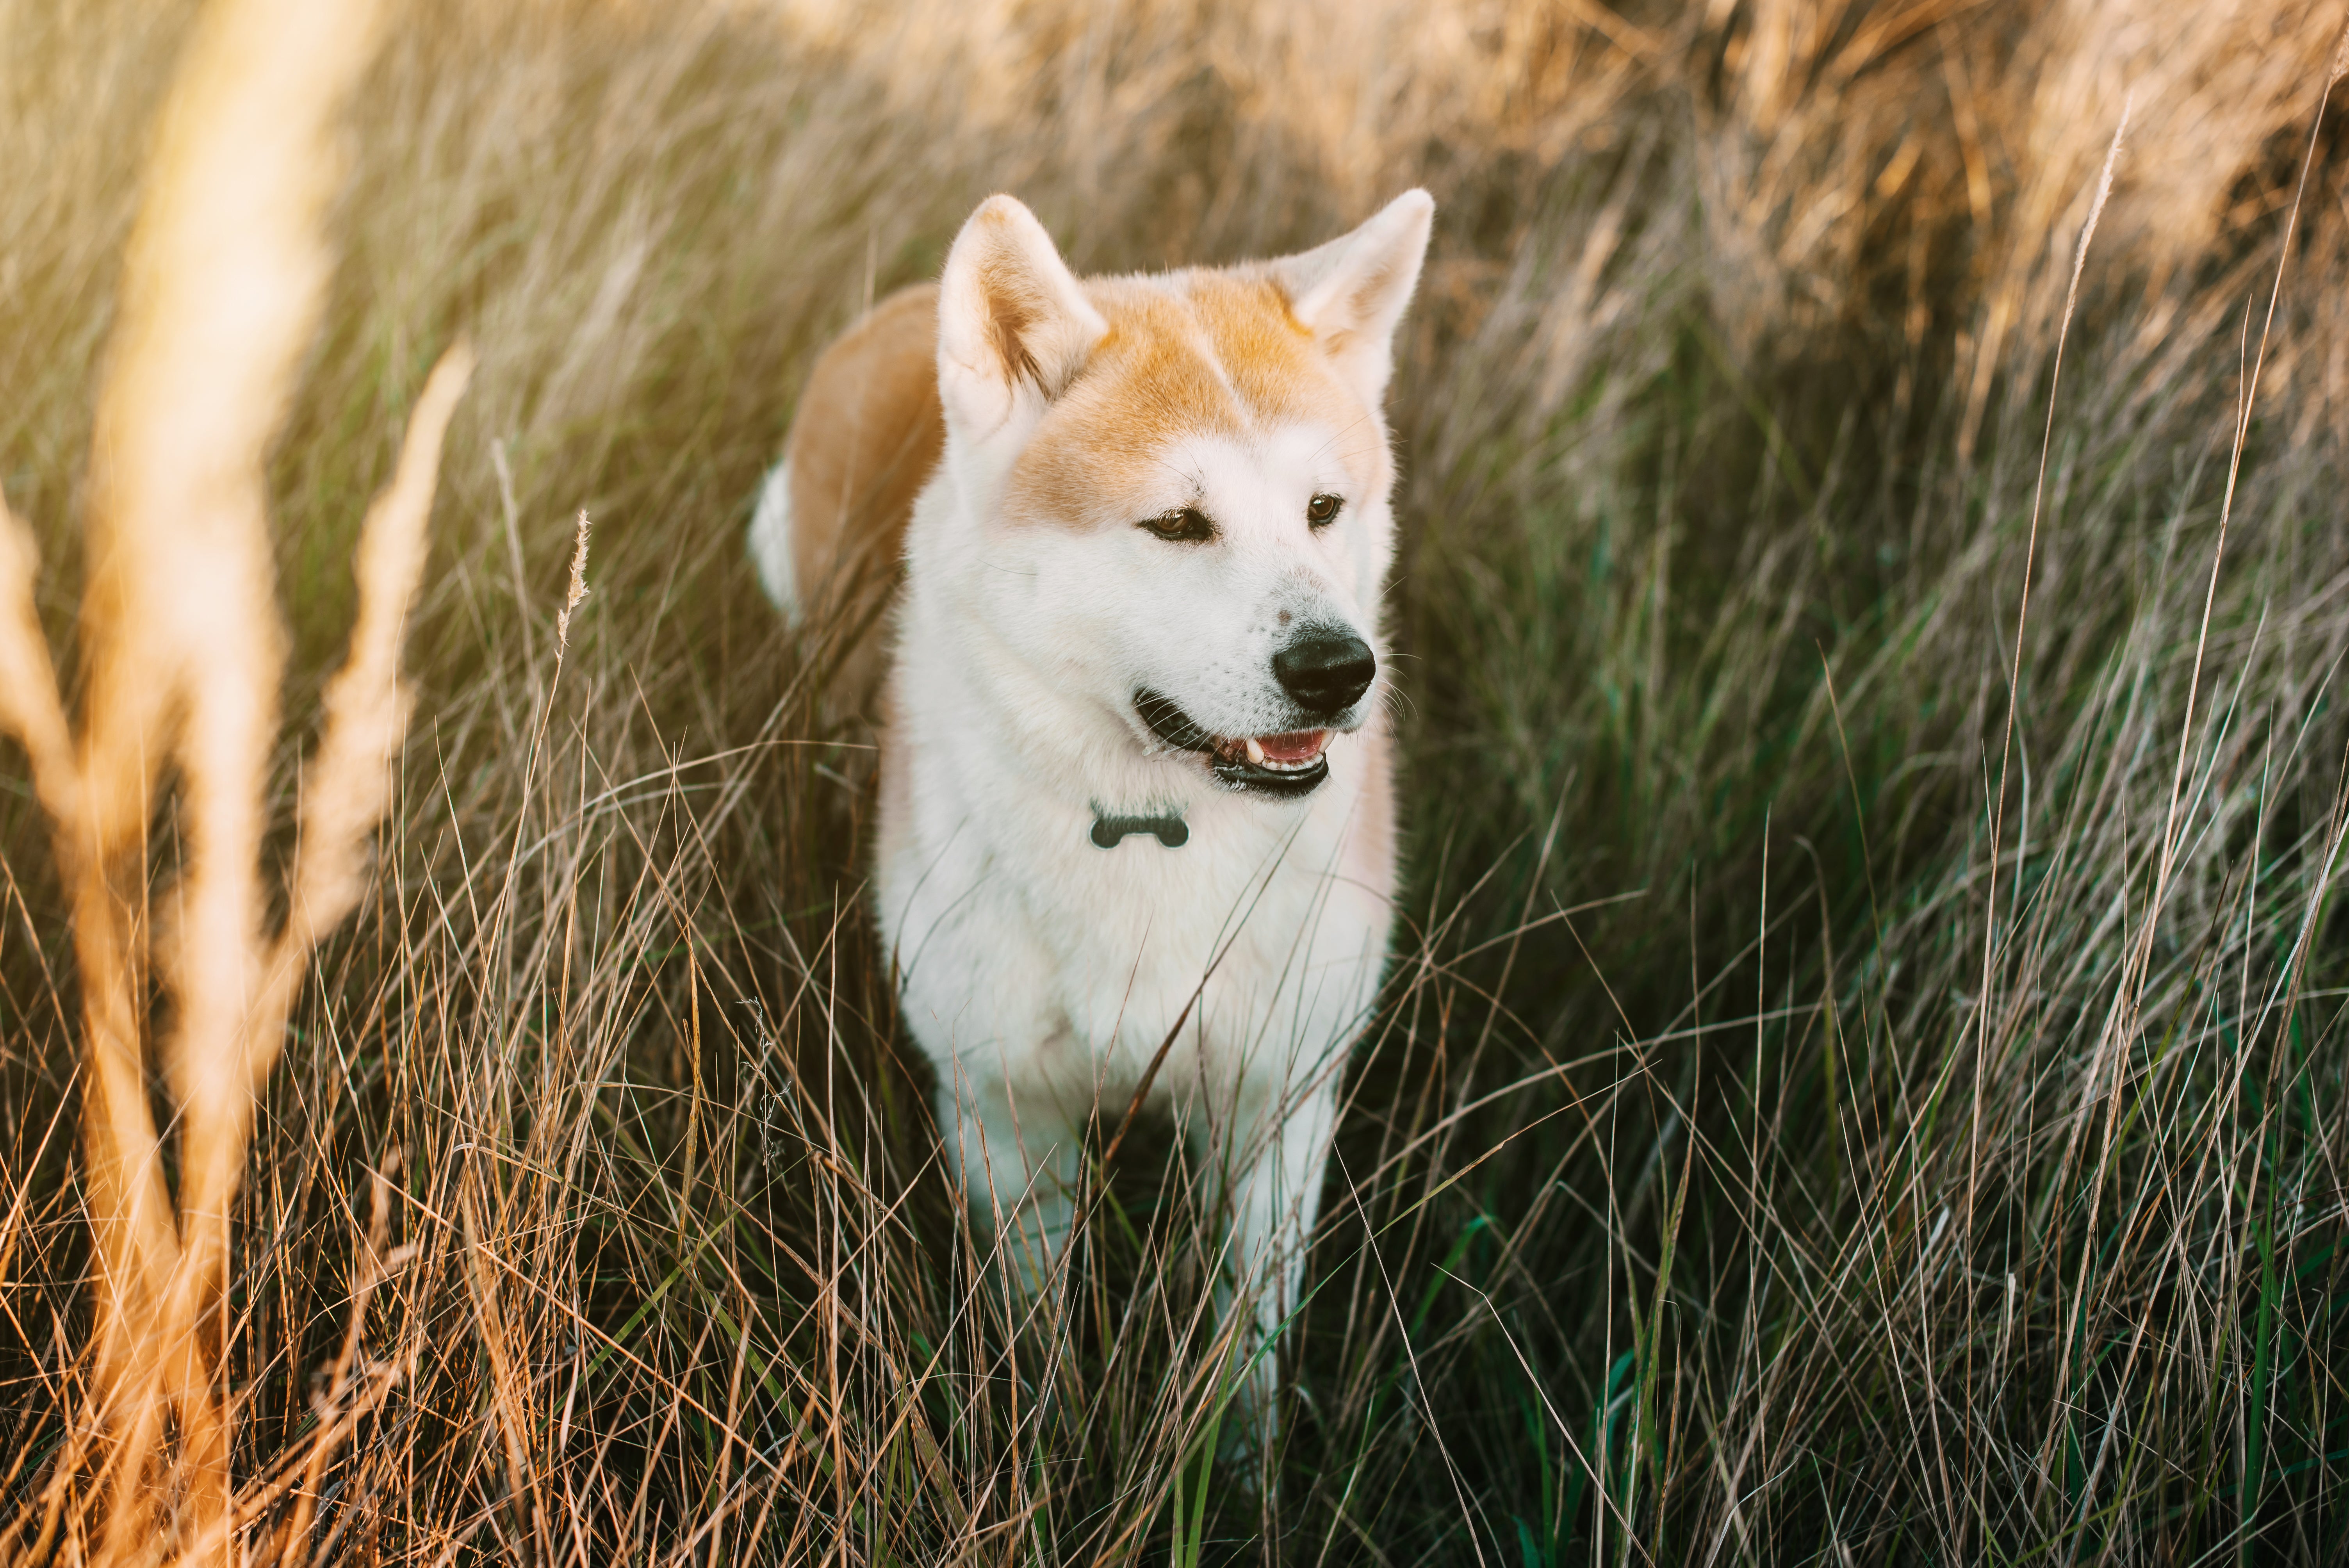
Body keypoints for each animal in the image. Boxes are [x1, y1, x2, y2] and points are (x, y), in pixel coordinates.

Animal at [742, 190, 1428, 1418]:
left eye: (1322, 508)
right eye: (1178, 525)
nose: (1338, 670)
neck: (1152, 823)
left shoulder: (1280, 1106)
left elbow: (1246, 1354)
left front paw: (1239, 1464)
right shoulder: (1005, 1114)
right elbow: (1040, 1340)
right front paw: (1051, 1442)